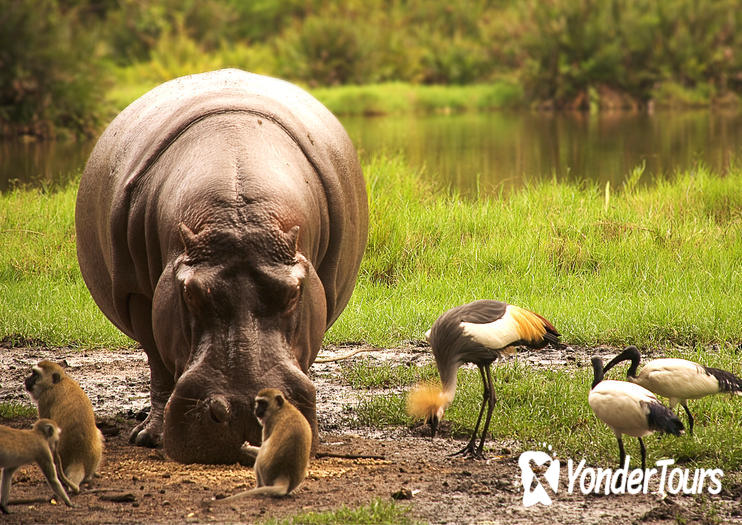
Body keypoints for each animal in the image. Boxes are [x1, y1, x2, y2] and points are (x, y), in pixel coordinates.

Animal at [25, 360, 103, 488]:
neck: (59, 382)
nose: (27, 379)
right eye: (32, 373)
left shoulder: (45, 398)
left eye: (35, 375)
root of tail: (78, 458)